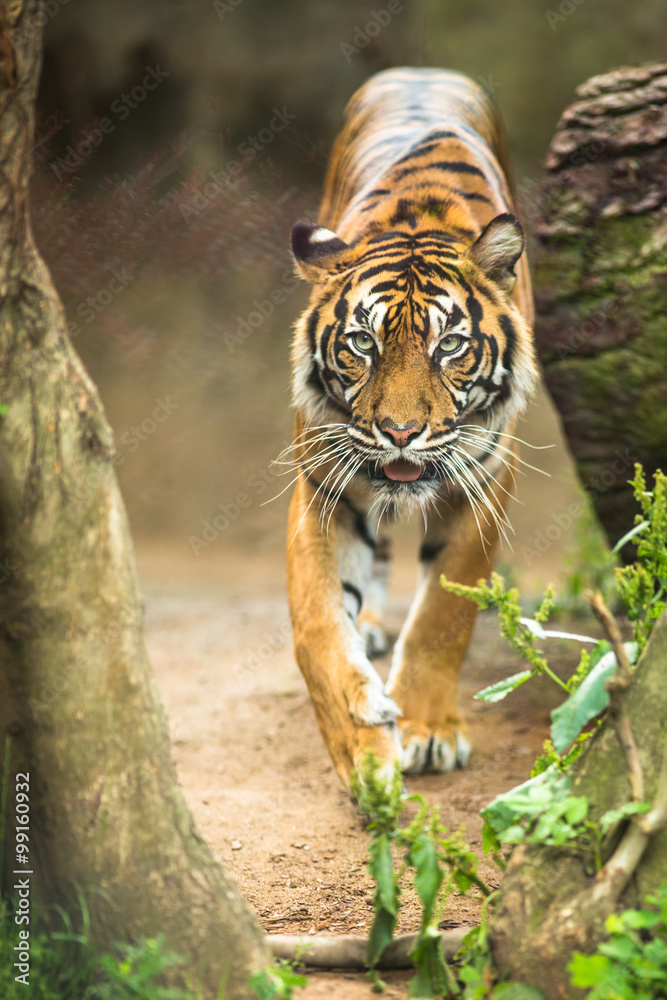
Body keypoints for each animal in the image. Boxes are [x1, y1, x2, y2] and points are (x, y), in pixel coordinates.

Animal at [285, 67, 537, 788]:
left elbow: (442, 618)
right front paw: (360, 745)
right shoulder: (324, 485)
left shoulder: (483, 487)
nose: (398, 432)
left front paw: (427, 733)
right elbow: (316, 623)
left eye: (448, 345)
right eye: (361, 344)